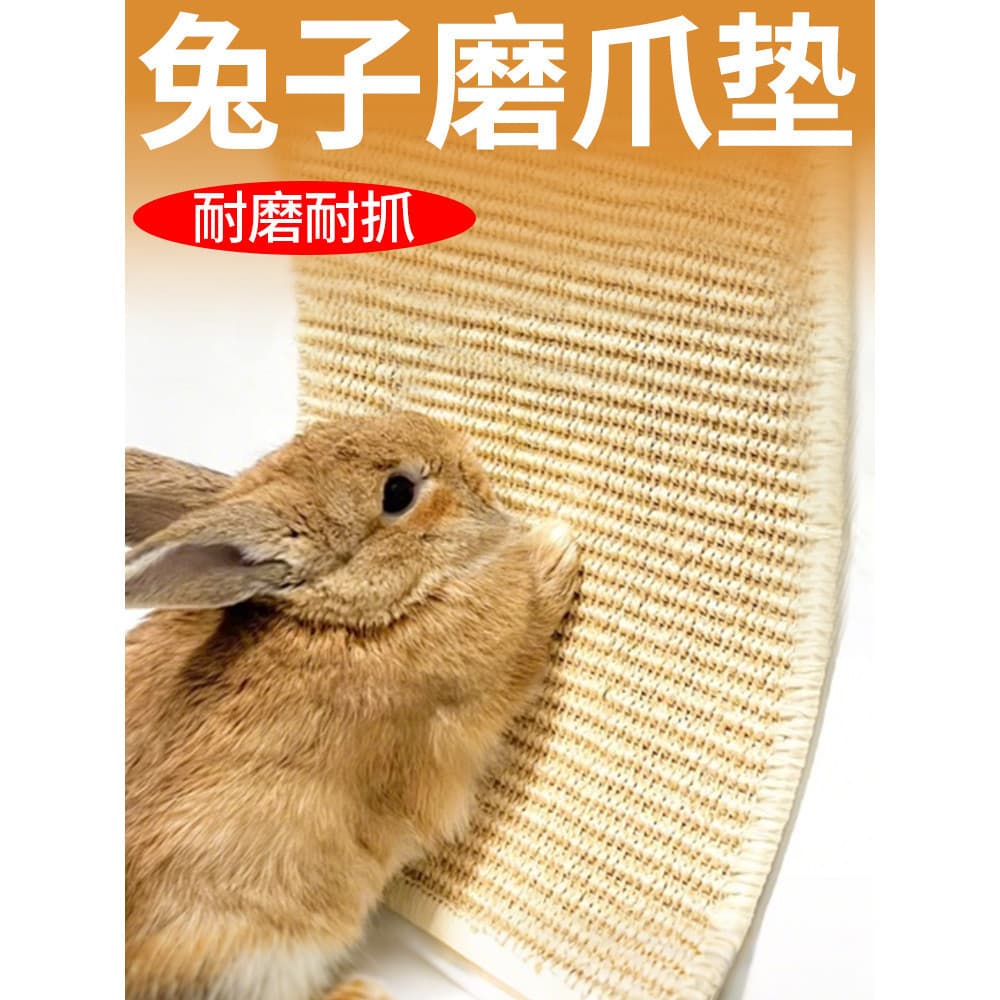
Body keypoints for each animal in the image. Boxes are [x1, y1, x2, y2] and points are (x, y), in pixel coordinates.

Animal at [124, 411, 580, 1000]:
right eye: (398, 492)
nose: (463, 450)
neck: (350, 615)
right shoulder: (491, 672)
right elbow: (529, 628)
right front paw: (555, 543)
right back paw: (363, 990)